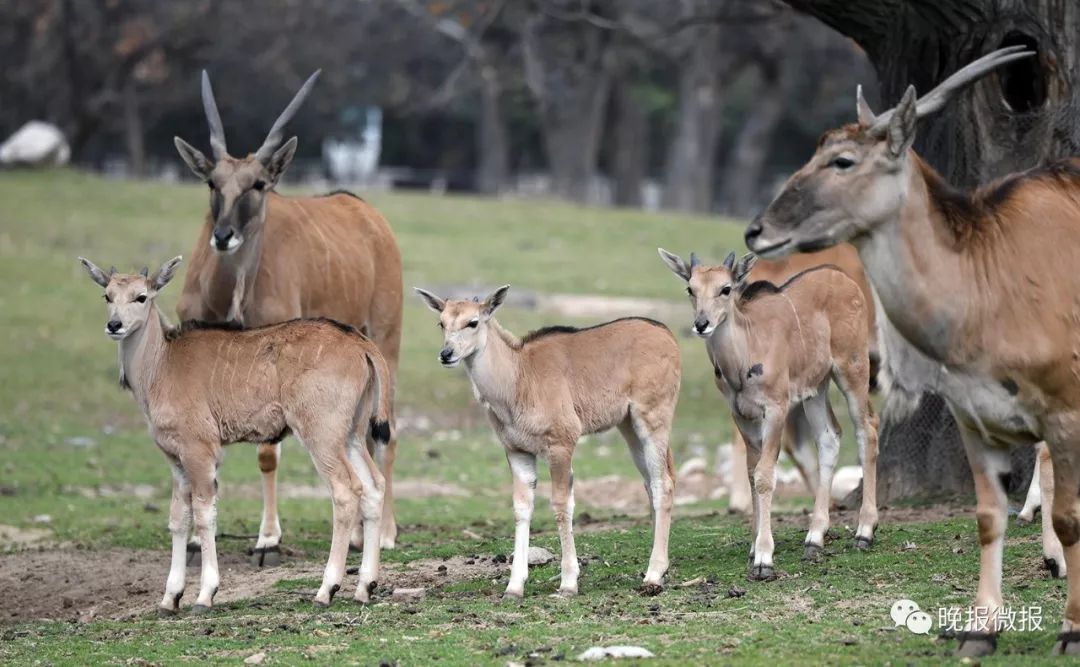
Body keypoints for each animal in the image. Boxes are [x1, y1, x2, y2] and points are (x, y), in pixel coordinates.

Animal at [81, 255, 393, 613]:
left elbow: (204, 515)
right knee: (373, 486)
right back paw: (365, 586)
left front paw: (205, 594)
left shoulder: (200, 451)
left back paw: (326, 589)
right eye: (107, 296)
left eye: (141, 296)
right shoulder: (176, 459)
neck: (163, 363)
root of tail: (361, 343)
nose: (114, 325)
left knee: (346, 492)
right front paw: (170, 596)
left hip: (322, 436)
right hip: (351, 435)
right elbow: (178, 518)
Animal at [414, 282, 678, 595]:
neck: (519, 377)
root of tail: (666, 334)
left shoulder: (561, 445)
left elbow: (562, 505)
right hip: (629, 428)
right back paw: (658, 568)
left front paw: (568, 582)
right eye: (441, 323)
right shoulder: (517, 451)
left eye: (473, 322)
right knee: (650, 483)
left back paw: (653, 574)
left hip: (652, 420)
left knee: (663, 483)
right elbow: (522, 508)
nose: (447, 353)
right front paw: (514, 586)